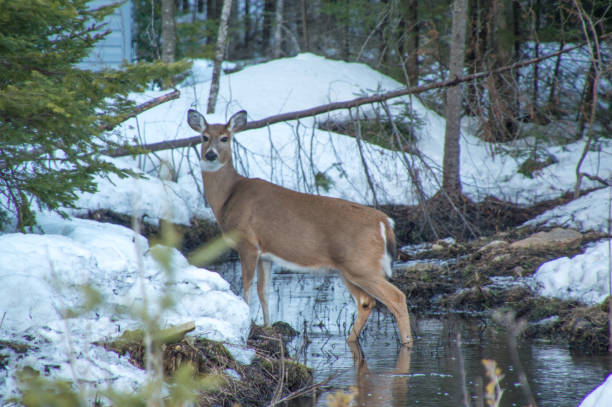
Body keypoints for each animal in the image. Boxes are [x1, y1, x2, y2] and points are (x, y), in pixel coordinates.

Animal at [188, 109, 412, 348]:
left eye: (224, 138)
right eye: (204, 137)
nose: (211, 155)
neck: (229, 197)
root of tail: (385, 223)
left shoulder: (247, 242)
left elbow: (246, 285)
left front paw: (247, 322)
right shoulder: (266, 254)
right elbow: (263, 290)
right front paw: (267, 326)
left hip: (361, 265)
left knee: (396, 297)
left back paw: (407, 343)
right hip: (349, 268)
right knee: (365, 302)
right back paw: (350, 340)